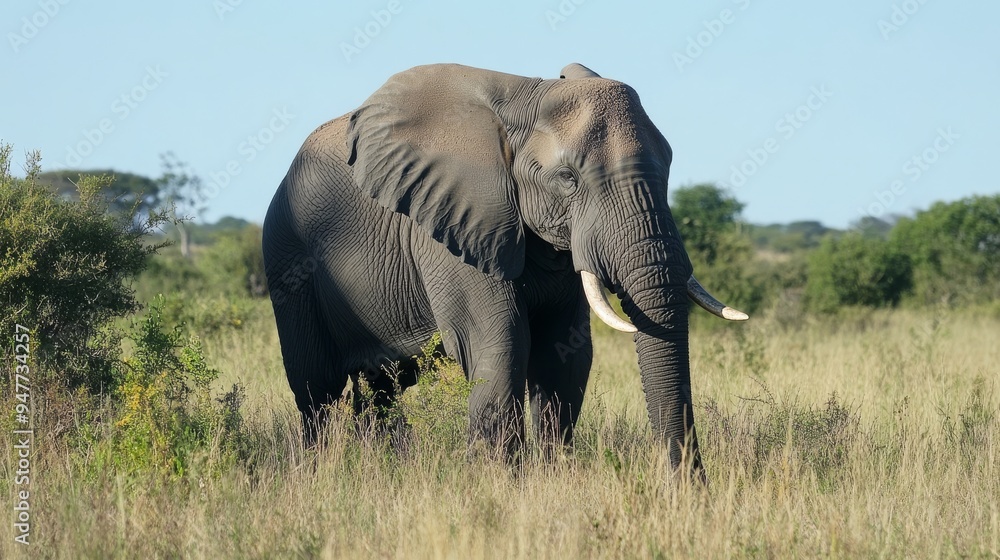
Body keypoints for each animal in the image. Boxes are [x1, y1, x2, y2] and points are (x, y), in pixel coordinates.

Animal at [262, 62, 747, 475]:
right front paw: (498, 483)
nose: (688, 488)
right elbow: (501, 342)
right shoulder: (450, 223)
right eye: (568, 178)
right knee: (316, 388)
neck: (527, 97)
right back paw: (317, 472)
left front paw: (553, 478)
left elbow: (565, 353)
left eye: (668, 169)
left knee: (384, 389)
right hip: (286, 254)